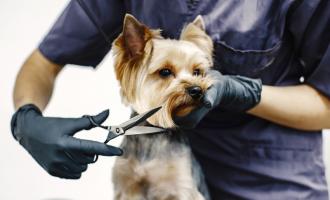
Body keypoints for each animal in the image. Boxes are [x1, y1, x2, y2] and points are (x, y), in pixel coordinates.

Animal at [111, 14, 214, 200]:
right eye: (165, 72)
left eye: (196, 72)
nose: (196, 90)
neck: (150, 134)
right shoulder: (127, 186)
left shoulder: (181, 188)